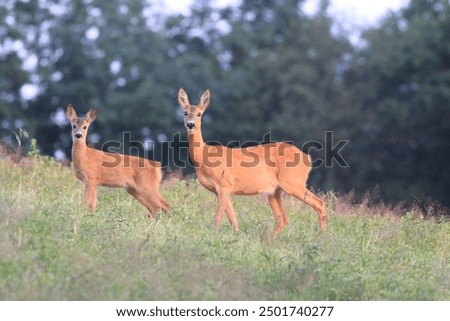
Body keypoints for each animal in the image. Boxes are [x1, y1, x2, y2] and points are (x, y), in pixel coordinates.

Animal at [177, 89, 326, 234]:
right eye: (185, 112)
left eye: (199, 114)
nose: (191, 124)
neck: (203, 157)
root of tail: (307, 158)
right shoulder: (220, 190)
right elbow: (233, 219)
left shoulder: (225, 184)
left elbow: (217, 219)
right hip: (274, 191)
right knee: (282, 219)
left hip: (293, 182)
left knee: (320, 204)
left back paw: (322, 237)